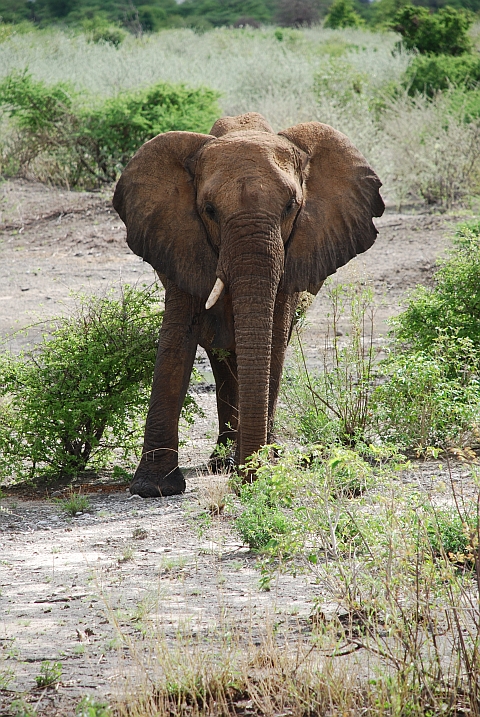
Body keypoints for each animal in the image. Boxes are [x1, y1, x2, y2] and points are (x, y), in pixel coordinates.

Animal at [113, 112, 384, 498]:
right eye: (209, 210)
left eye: (290, 207)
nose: (250, 480)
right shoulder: (179, 239)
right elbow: (176, 342)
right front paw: (153, 488)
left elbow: (272, 341)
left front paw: (261, 469)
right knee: (223, 357)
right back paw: (223, 461)